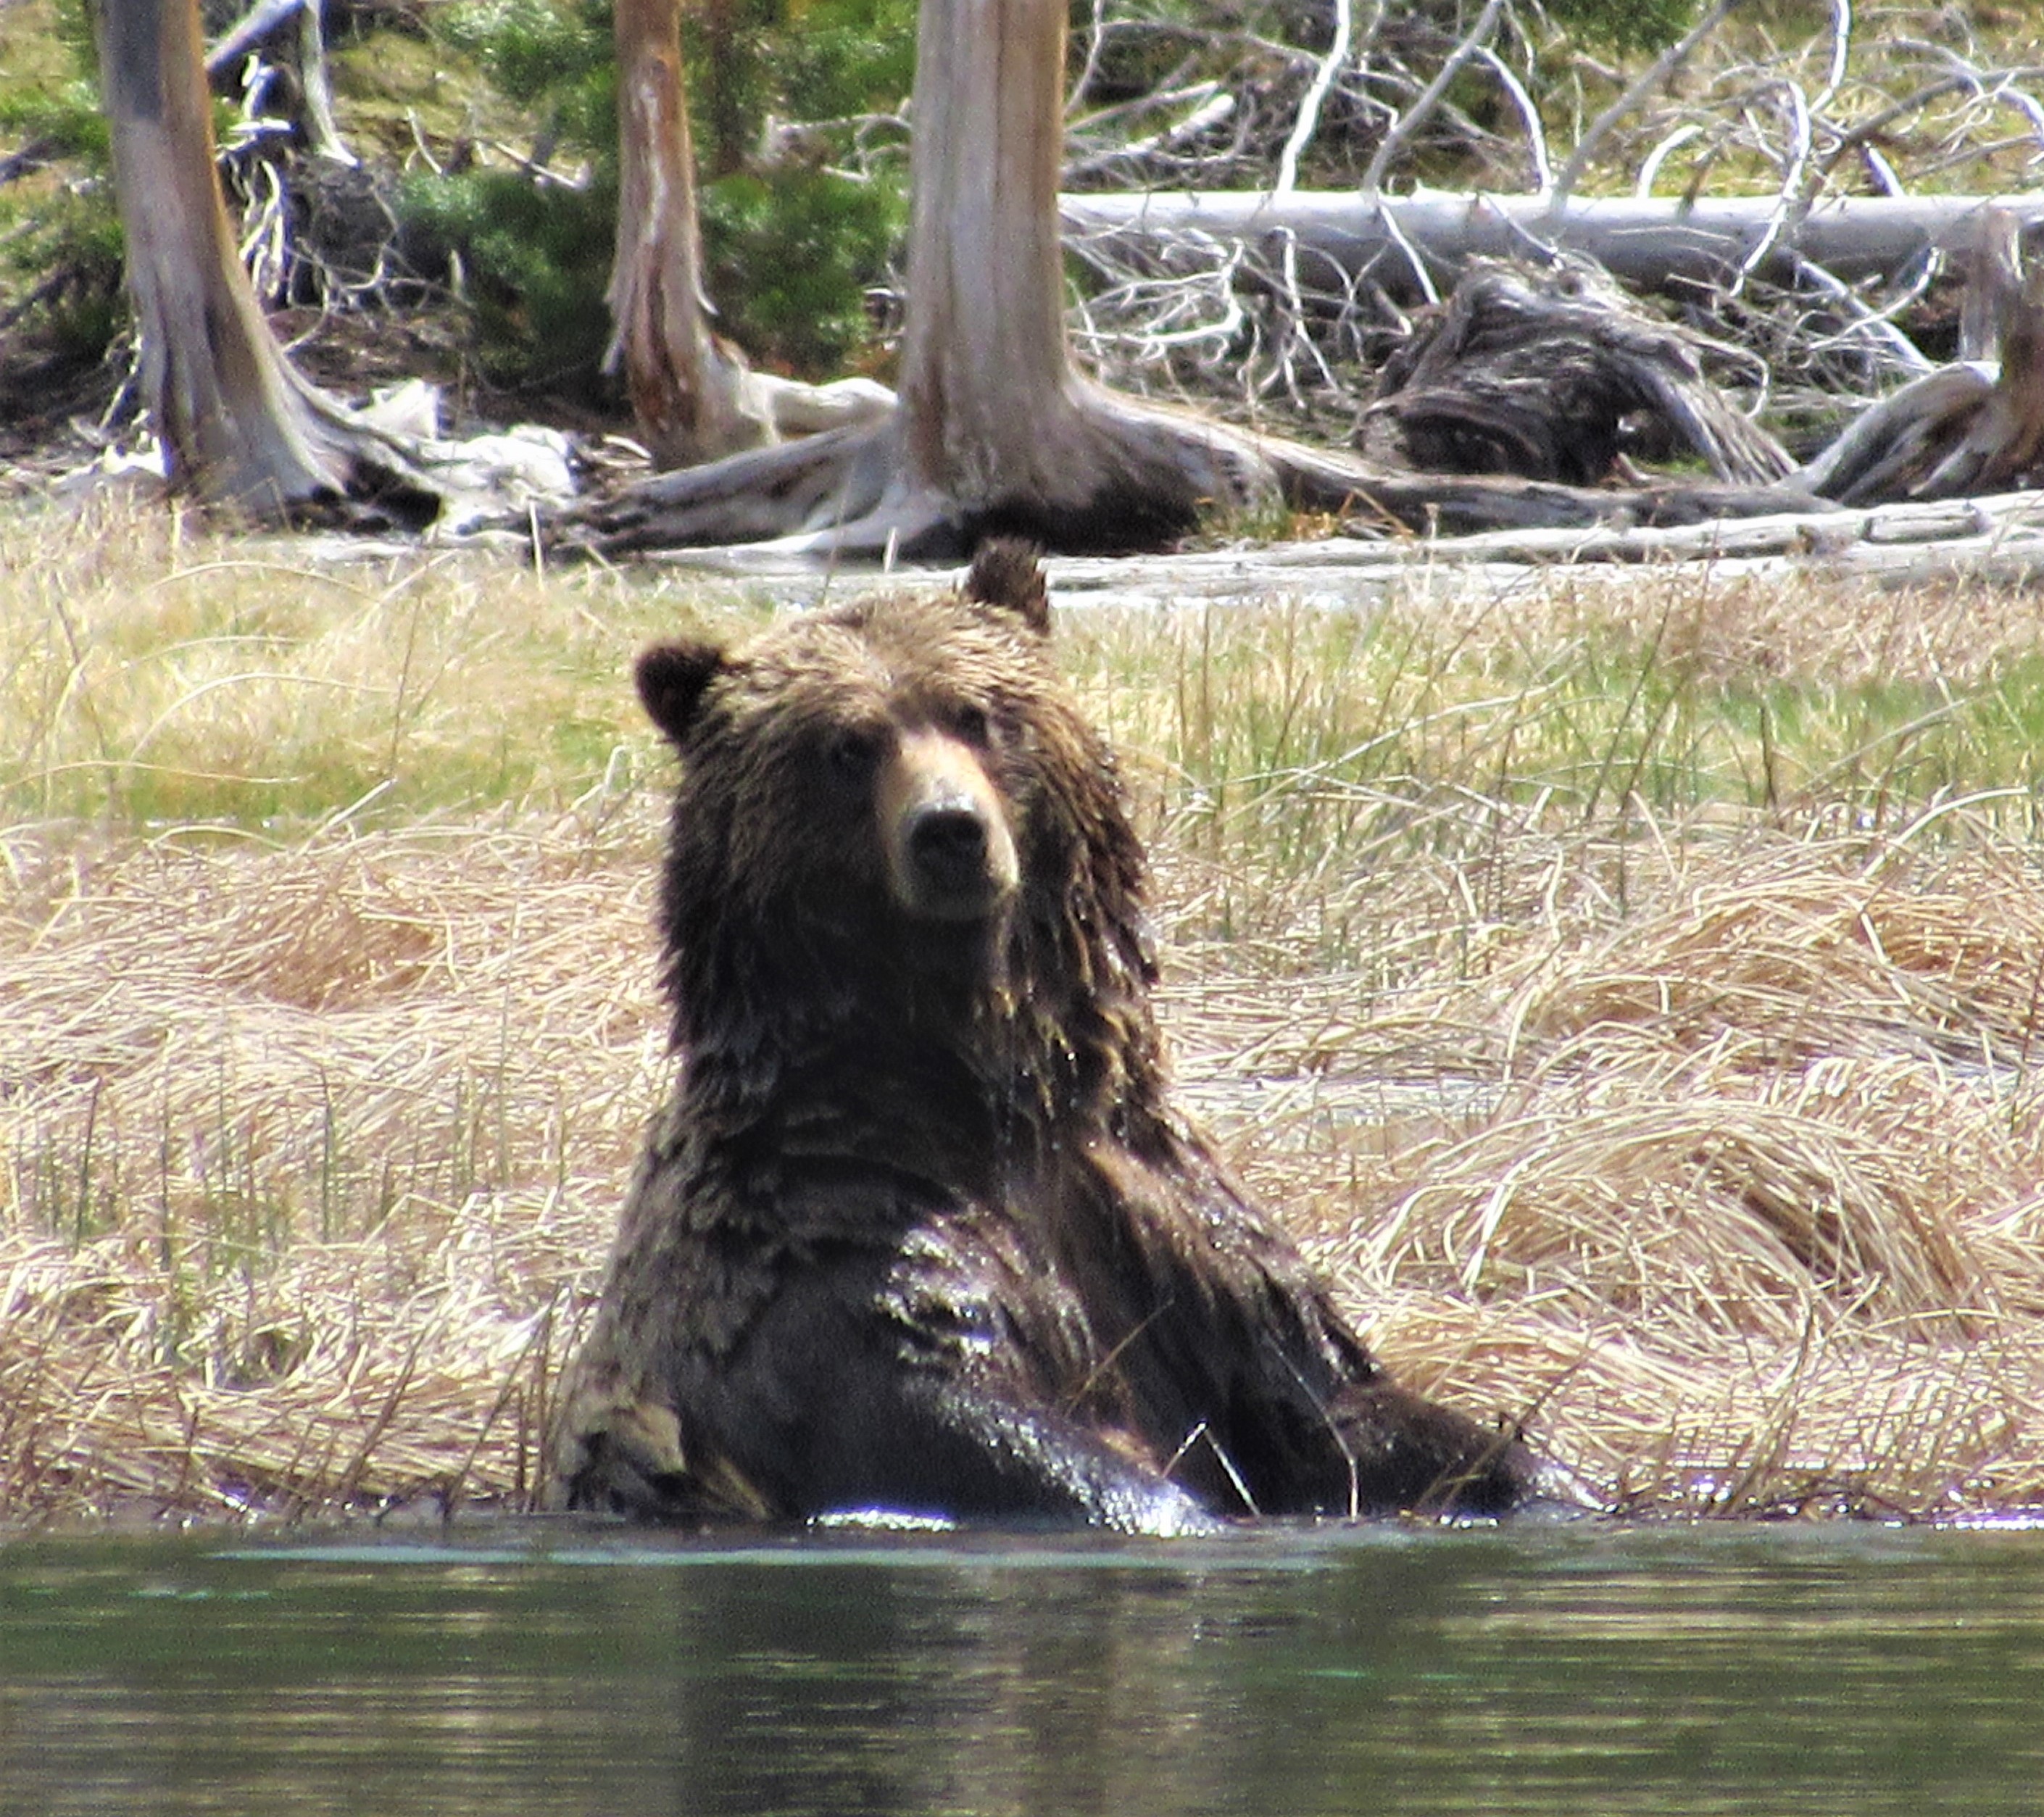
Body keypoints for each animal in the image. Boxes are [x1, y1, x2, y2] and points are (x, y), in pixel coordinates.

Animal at [552, 544, 1537, 1529]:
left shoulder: (1179, 1241)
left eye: (975, 712)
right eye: (847, 746)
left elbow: (1333, 1404)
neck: (993, 1096)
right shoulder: (819, 1253)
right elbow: (964, 1420)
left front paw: (1526, 1473)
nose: (951, 829)